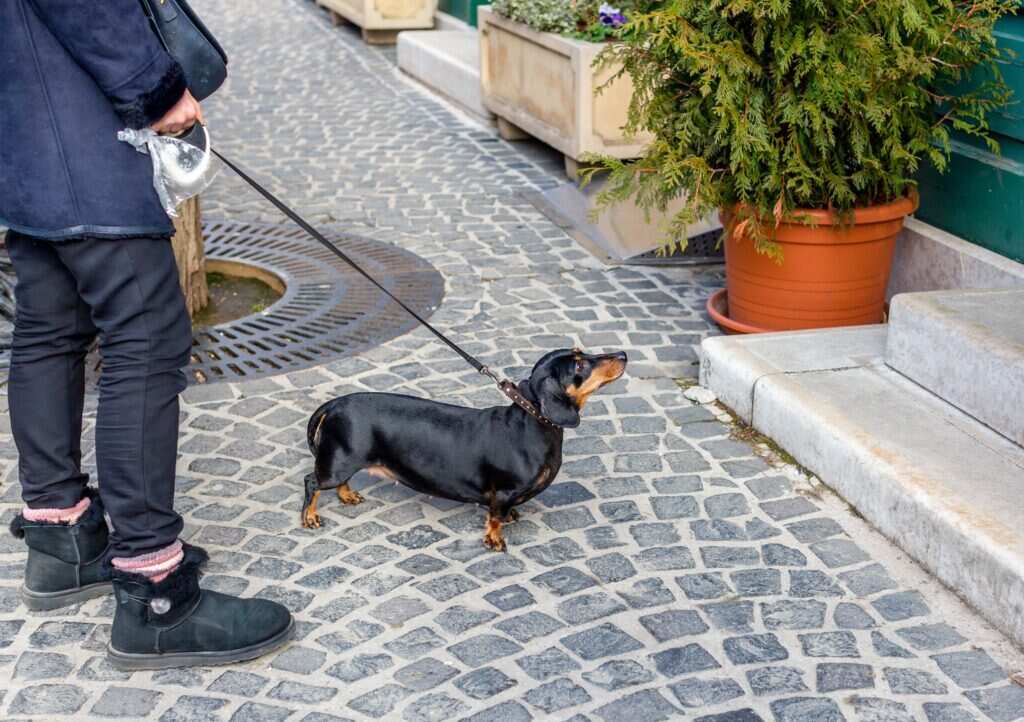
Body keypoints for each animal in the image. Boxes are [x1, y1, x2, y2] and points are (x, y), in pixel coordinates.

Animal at [299, 348, 626, 544]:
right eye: (579, 364)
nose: (623, 353)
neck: (533, 424)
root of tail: (335, 403)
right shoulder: (503, 491)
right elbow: (494, 517)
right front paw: (495, 539)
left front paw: (511, 517)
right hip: (338, 463)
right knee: (311, 482)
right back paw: (310, 517)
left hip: (345, 460)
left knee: (338, 482)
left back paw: (347, 496)